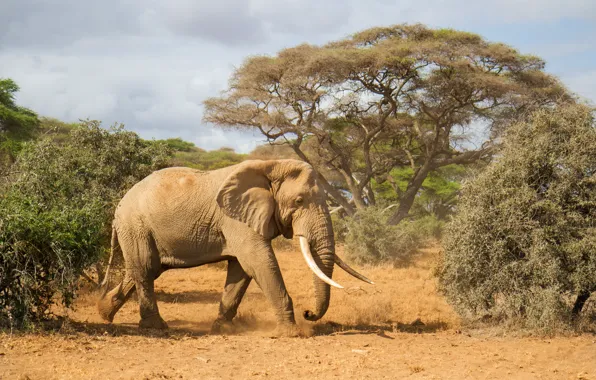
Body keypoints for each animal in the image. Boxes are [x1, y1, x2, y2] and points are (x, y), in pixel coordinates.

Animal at [96, 159, 372, 336]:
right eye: (299, 201)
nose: (308, 313)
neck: (271, 165)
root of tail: (119, 205)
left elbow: (241, 270)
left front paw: (223, 329)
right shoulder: (236, 218)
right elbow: (258, 260)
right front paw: (291, 333)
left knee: (145, 269)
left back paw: (104, 313)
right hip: (135, 225)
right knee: (145, 269)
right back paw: (155, 327)